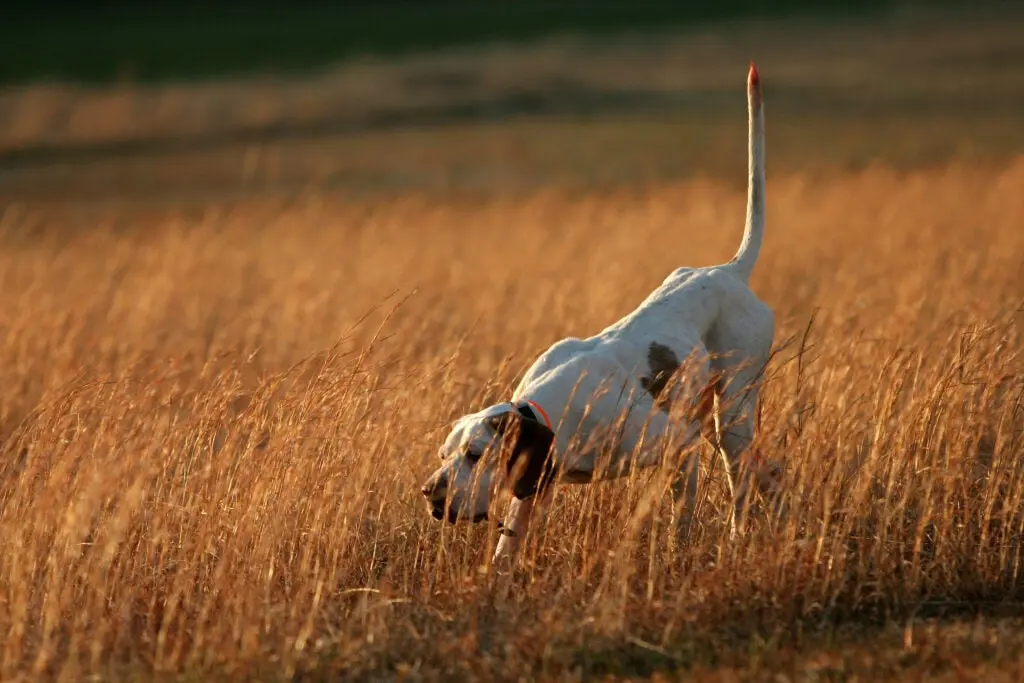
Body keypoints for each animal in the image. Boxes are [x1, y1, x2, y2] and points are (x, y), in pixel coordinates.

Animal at [419, 63, 778, 565]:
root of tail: (729, 270)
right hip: (715, 418)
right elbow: (506, 552)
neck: (556, 412)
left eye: (475, 454)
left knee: (741, 483)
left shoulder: (678, 448)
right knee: (769, 472)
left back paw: (736, 538)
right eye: (443, 455)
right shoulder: (534, 486)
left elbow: (681, 520)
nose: (431, 492)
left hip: (732, 416)